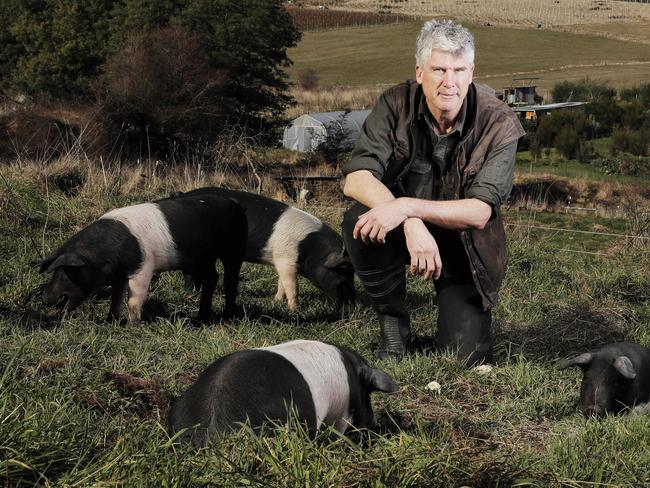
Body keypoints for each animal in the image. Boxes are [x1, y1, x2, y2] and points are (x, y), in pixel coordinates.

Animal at [39, 193, 246, 324]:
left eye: (68, 272)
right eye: (55, 272)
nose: (45, 297)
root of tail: (235, 203)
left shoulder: (144, 266)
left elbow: (134, 299)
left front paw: (130, 326)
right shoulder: (121, 274)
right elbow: (116, 296)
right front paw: (110, 321)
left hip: (234, 250)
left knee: (230, 279)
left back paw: (227, 317)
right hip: (204, 258)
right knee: (212, 278)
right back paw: (201, 319)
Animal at [173, 187, 354, 308]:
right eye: (342, 271)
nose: (352, 304)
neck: (309, 248)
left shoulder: (281, 259)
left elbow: (282, 282)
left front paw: (277, 301)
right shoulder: (287, 260)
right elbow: (292, 286)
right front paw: (295, 309)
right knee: (187, 271)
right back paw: (191, 294)